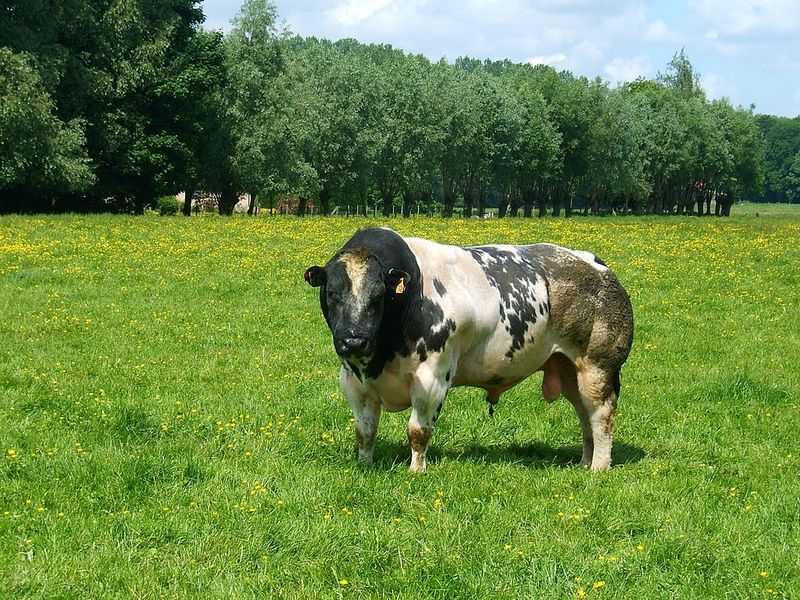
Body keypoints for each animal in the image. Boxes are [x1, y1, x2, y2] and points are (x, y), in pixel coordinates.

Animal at [304, 227, 636, 472]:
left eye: (379, 295)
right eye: (331, 292)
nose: (354, 340)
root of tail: (597, 265)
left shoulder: (432, 377)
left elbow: (418, 431)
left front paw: (416, 470)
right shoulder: (353, 381)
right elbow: (365, 431)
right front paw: (365, 464)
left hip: (598, 365)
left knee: (601, 415)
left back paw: (599, 467)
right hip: (568, 369)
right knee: (584, 414)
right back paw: (584, 462)